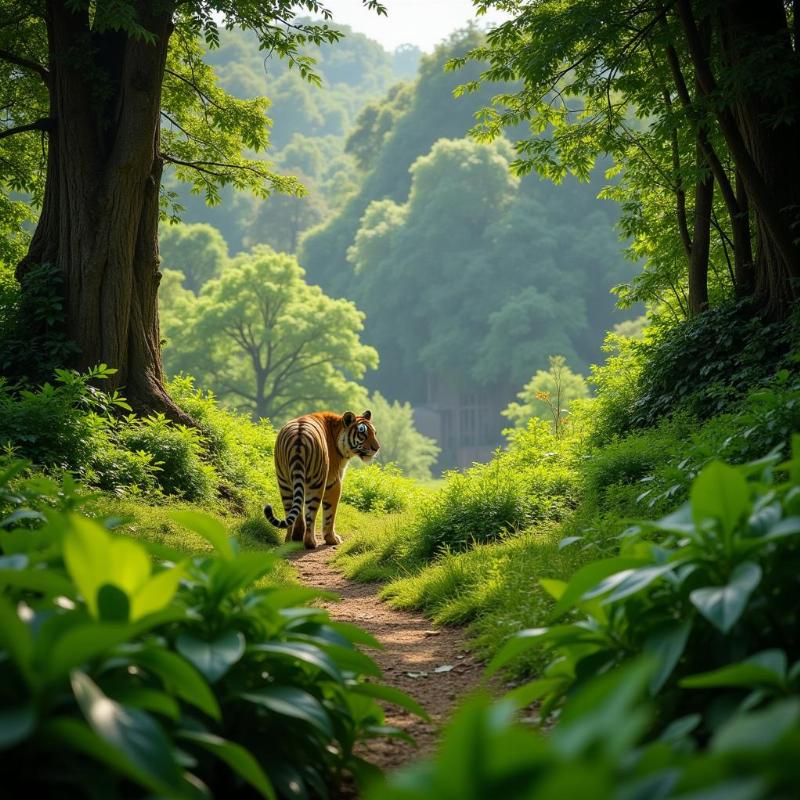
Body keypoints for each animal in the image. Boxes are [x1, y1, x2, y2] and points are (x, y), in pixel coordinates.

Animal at [264, 412, 380, 552]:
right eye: (363, 433)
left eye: (374, 433)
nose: (377, 448)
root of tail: (298, 435)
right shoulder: (334, 482)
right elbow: (330, 514)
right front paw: (332, 539)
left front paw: (297, 537)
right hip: (316, 483)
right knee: (311, 514)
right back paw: (311, 542)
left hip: (284, 481)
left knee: (290, 510)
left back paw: (290, 540)